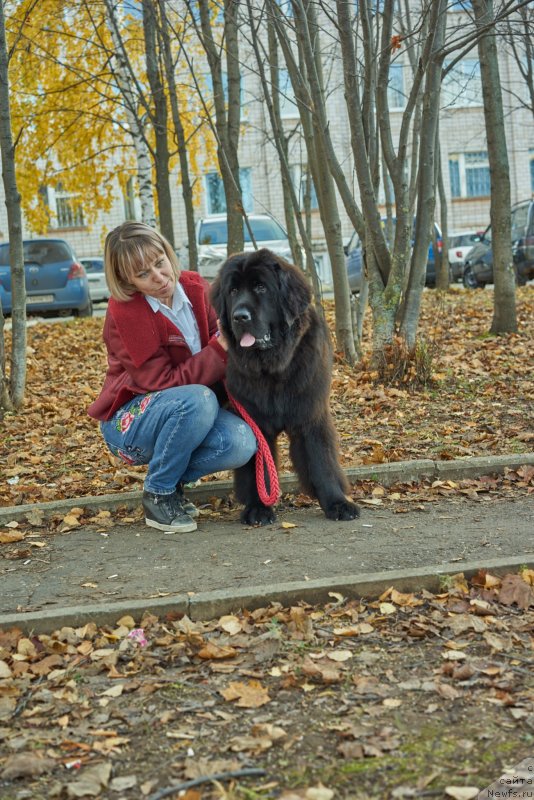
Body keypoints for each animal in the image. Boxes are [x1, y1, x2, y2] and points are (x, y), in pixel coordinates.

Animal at [211, 247, 362, 528]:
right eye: (233, 291)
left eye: (260, 287)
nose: (239, 317)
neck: (274, 370)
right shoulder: (254, 421)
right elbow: (257, 470)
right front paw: (258, 507)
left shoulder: (311, 415)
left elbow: (321, 461)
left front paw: (337, 503)